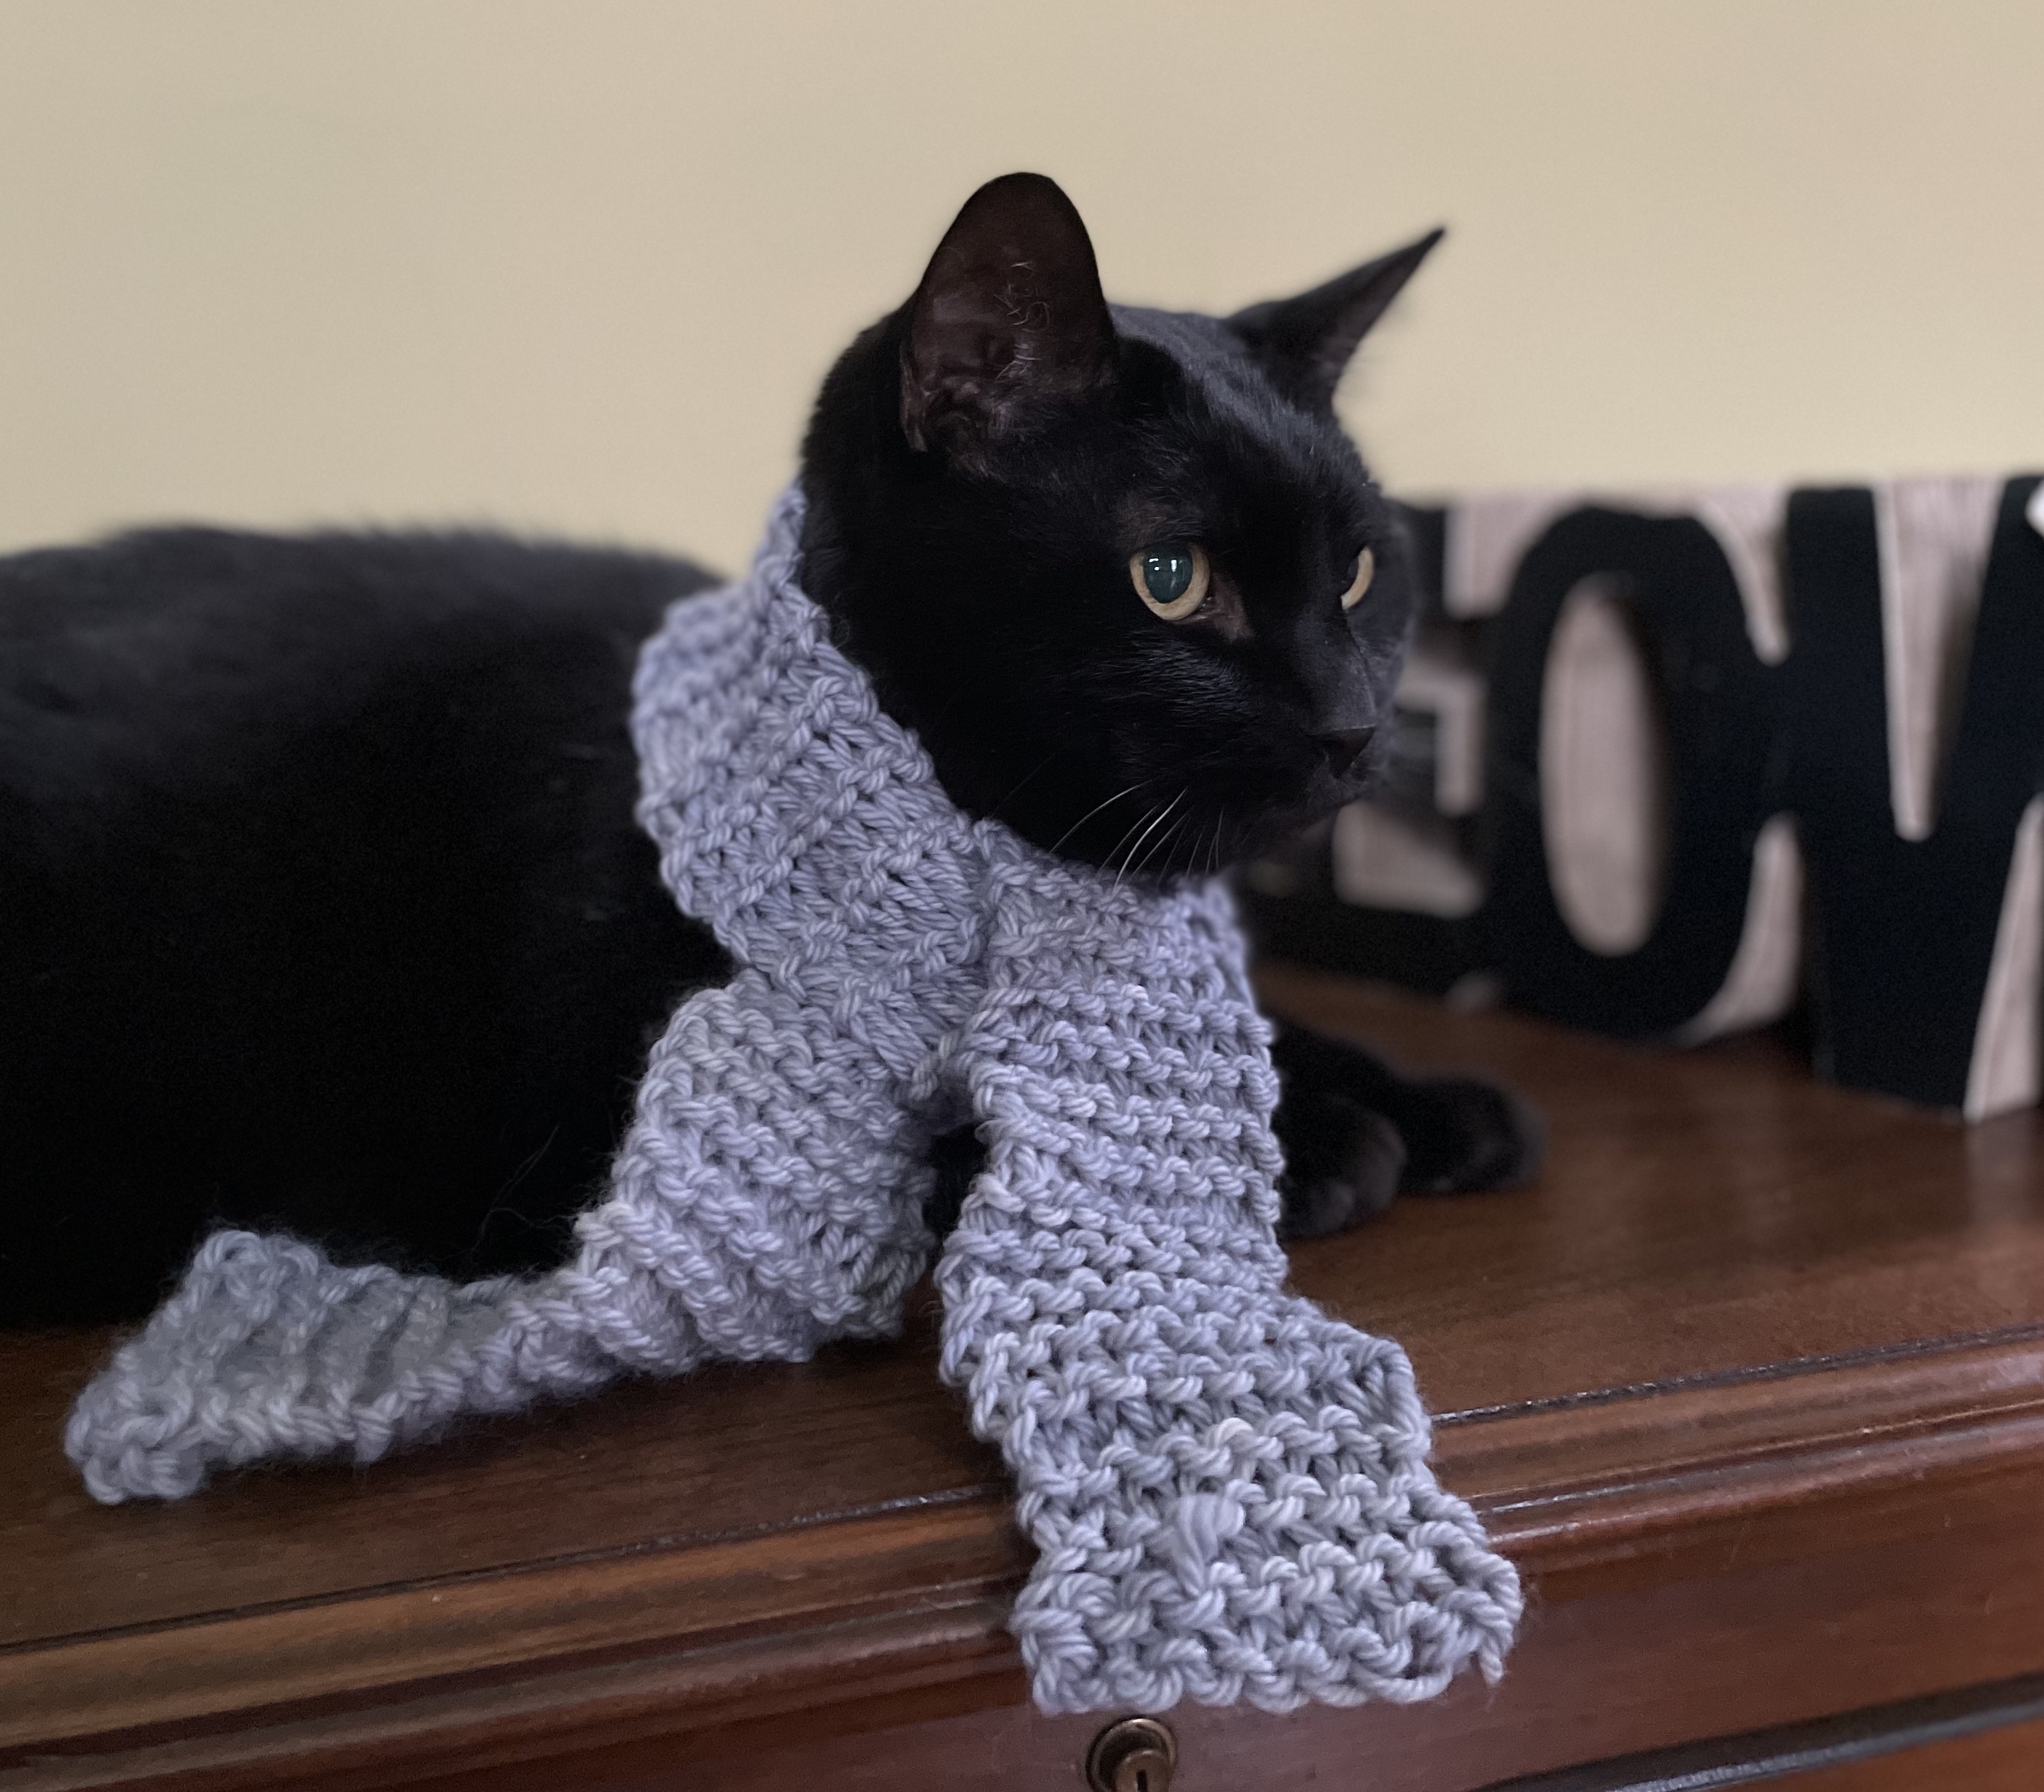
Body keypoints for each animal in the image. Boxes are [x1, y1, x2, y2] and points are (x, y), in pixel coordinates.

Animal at [0, 178, 1537, 1332]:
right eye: (1172, 577)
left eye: (1359, 573)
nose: (1352, 725)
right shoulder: (595, 1128)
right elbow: (947, 1140)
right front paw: (1320, 1138)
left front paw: (1412, 1094)